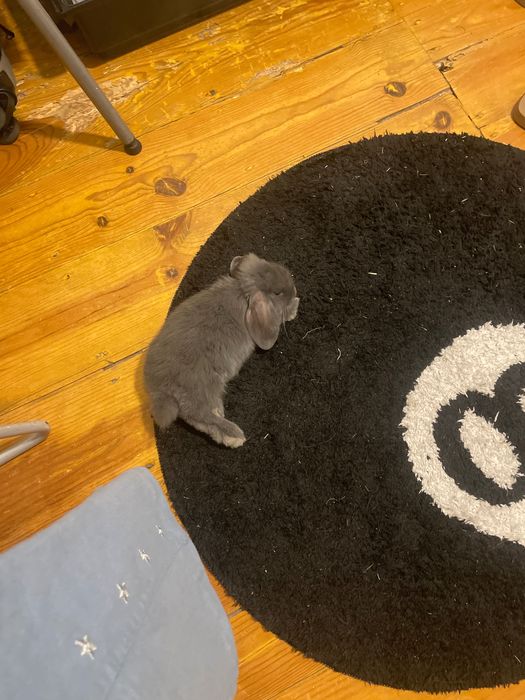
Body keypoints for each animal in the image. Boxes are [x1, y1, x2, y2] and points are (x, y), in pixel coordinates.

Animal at [143, 253, 300, 448]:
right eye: (277, 293)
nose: (294, 290)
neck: (241, 291)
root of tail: (162, 392)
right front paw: (294, 308)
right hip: (204, 388)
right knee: (200, 416)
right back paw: (233, 436)